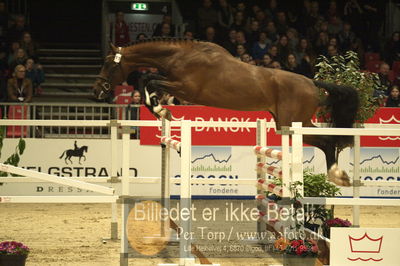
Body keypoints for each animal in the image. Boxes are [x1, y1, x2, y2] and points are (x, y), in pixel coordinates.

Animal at [94, 38, 360, 186]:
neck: (181, 55)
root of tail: (313, 83)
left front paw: (161, 110)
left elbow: (148, 80)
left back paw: (337, 175)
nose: (97, 90)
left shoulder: (186, 89)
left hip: (292, 122)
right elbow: (149, 80)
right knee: (326, 141)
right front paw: (162, 111)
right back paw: (338, 176)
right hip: (290, 123)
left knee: (328, 141)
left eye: (107, 63)